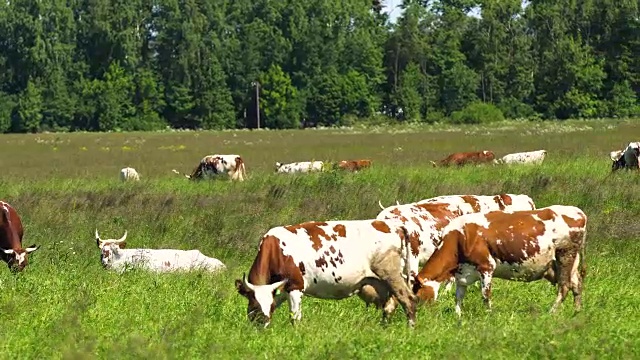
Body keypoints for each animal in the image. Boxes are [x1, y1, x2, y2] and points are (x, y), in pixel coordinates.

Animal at [232, 219, 418, 330]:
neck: (276, 249)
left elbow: (295, 316)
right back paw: (383, 328)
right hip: (385, 282)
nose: (262, 327)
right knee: (390, 305)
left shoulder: (295, 285)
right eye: (255, 306)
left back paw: (410, 329)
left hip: (392, 275)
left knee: (408, 300)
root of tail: (392, 225)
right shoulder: (283, 288)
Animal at [412, 205, 588, 318]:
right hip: (569, 262)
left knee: (564, 286)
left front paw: (489, 315)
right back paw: (577, 312)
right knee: (576, 284)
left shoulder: (486, 266)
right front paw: (458, 316)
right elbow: (459, 296)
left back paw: (551, 312)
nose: (420, 315)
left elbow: (485, 295)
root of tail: (578, 211)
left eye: (417, 296)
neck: (460, 237)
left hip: (565, 255)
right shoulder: (463, 272)